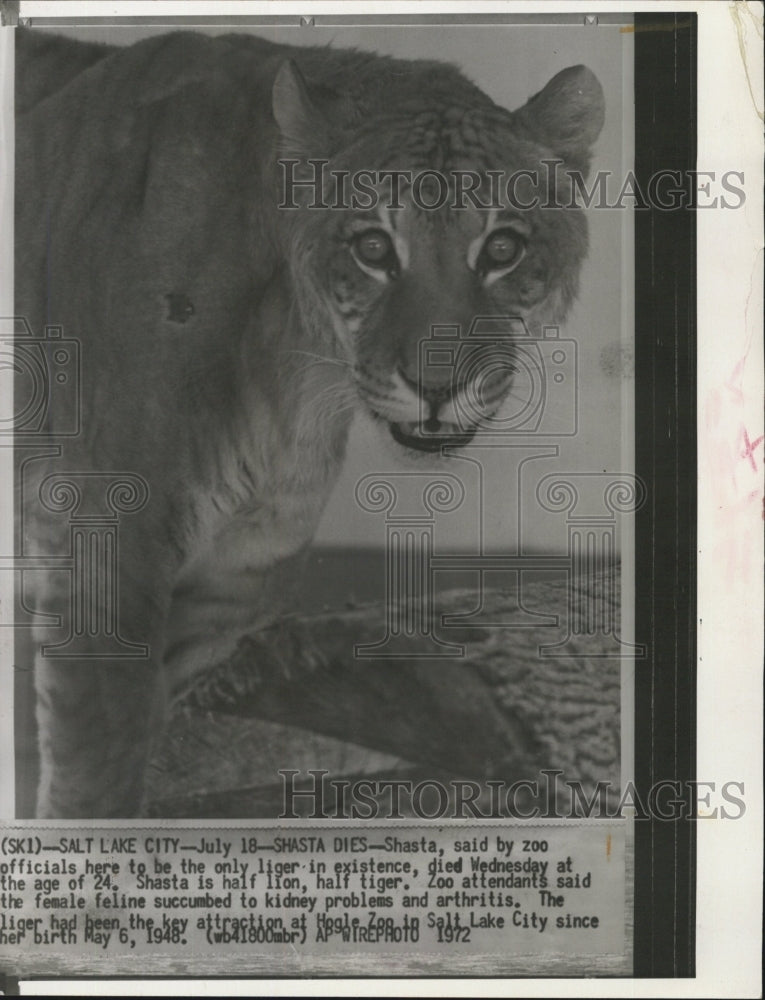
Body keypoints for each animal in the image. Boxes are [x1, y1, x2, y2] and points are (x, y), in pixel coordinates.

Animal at [14, 28, 604, 817]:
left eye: (502, 250)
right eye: (373, 248)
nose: (436, 386)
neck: (300, 371)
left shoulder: (226, 587)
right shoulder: (105, 551)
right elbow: (96, 784)